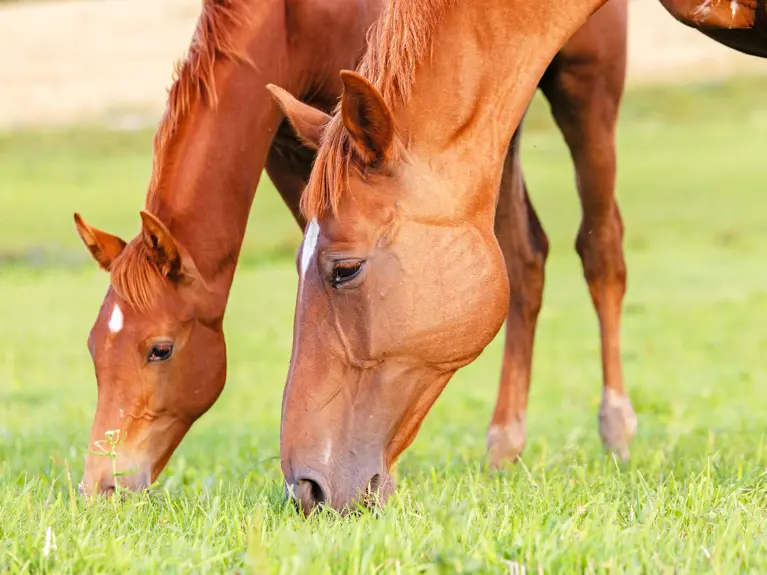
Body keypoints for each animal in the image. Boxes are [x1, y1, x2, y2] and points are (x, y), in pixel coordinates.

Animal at [73, 0, 630, 496]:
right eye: (95, 349)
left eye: (160, 350)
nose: (100, 485)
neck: (293, 20)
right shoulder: (293, 145)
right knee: (526, 259)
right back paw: (504, 446)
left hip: (585, 86)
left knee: (600, 251)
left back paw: (616, 430)